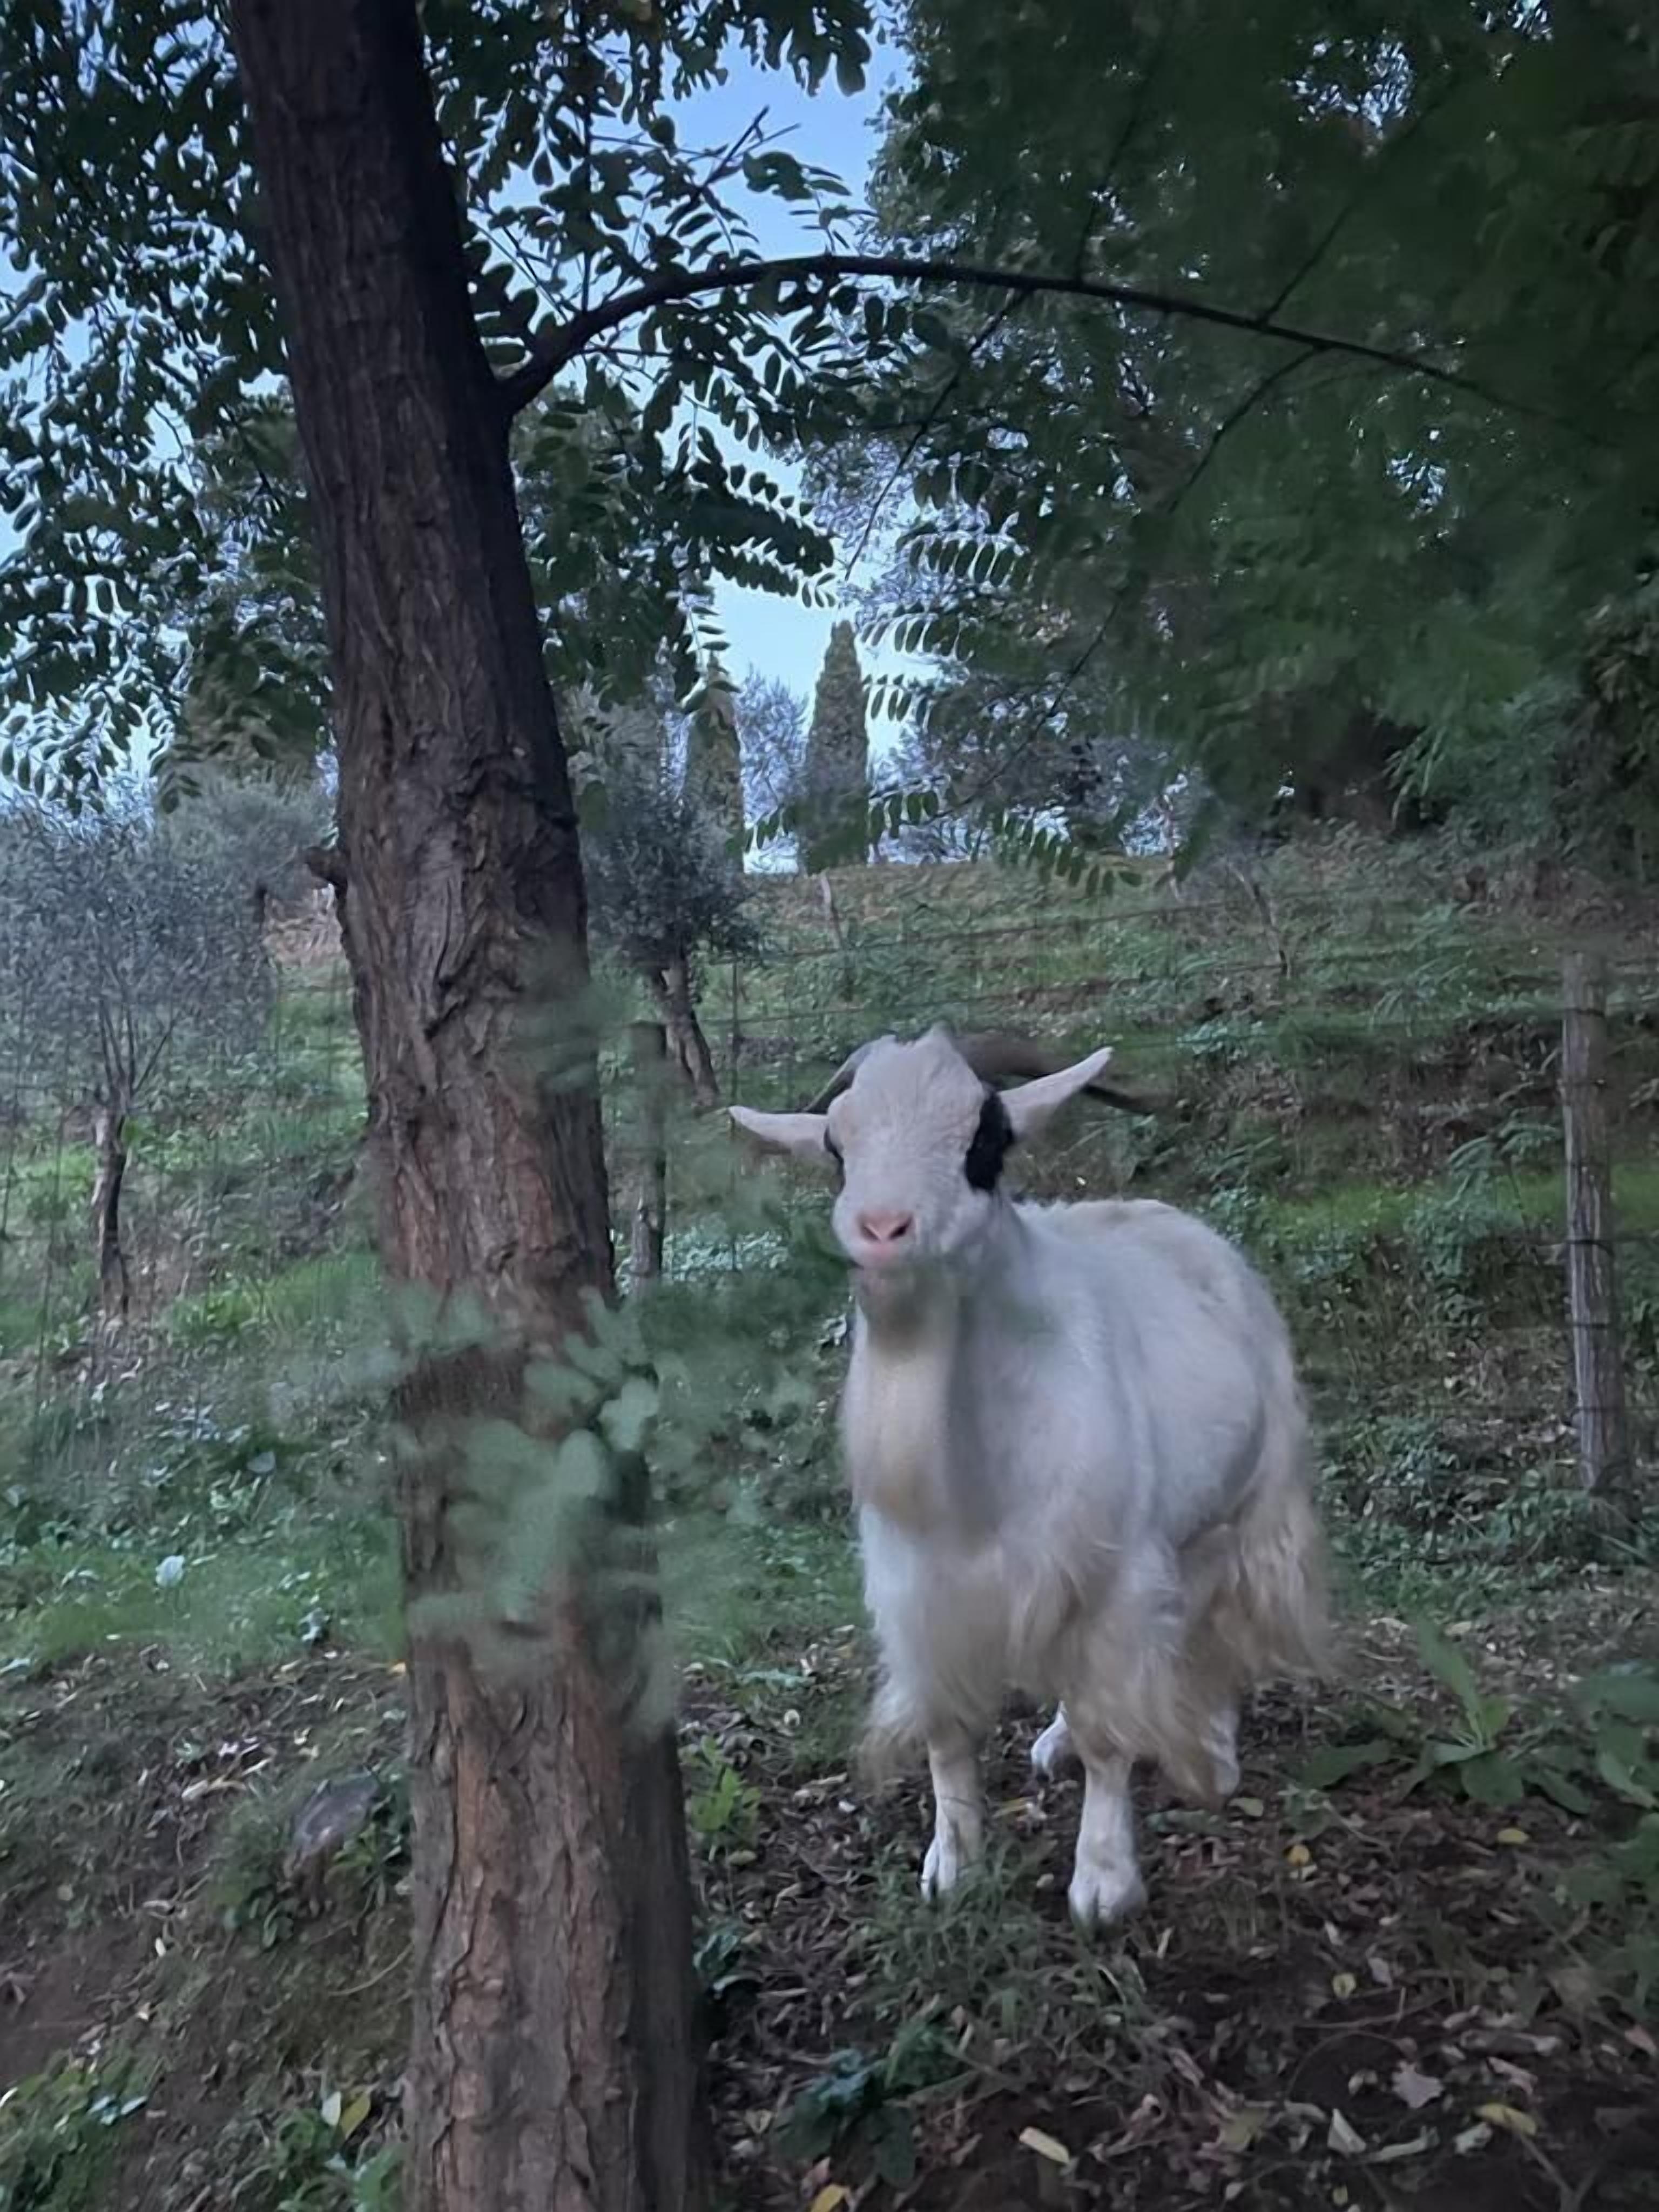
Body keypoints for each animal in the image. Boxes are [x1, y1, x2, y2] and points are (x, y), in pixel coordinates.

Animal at [730, 1025, 1328, 1928]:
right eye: (837, 1145)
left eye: (986, 1138)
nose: (881, 1228)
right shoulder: (921, 1590)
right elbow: (947, 1730)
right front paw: (952, 1867)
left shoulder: (1119, 1570)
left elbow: (1113, 1731)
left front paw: (1104, 1886)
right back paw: (1056, 1739)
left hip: (1241, 1504)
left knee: (1216, 1621)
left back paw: (1213, 1748)